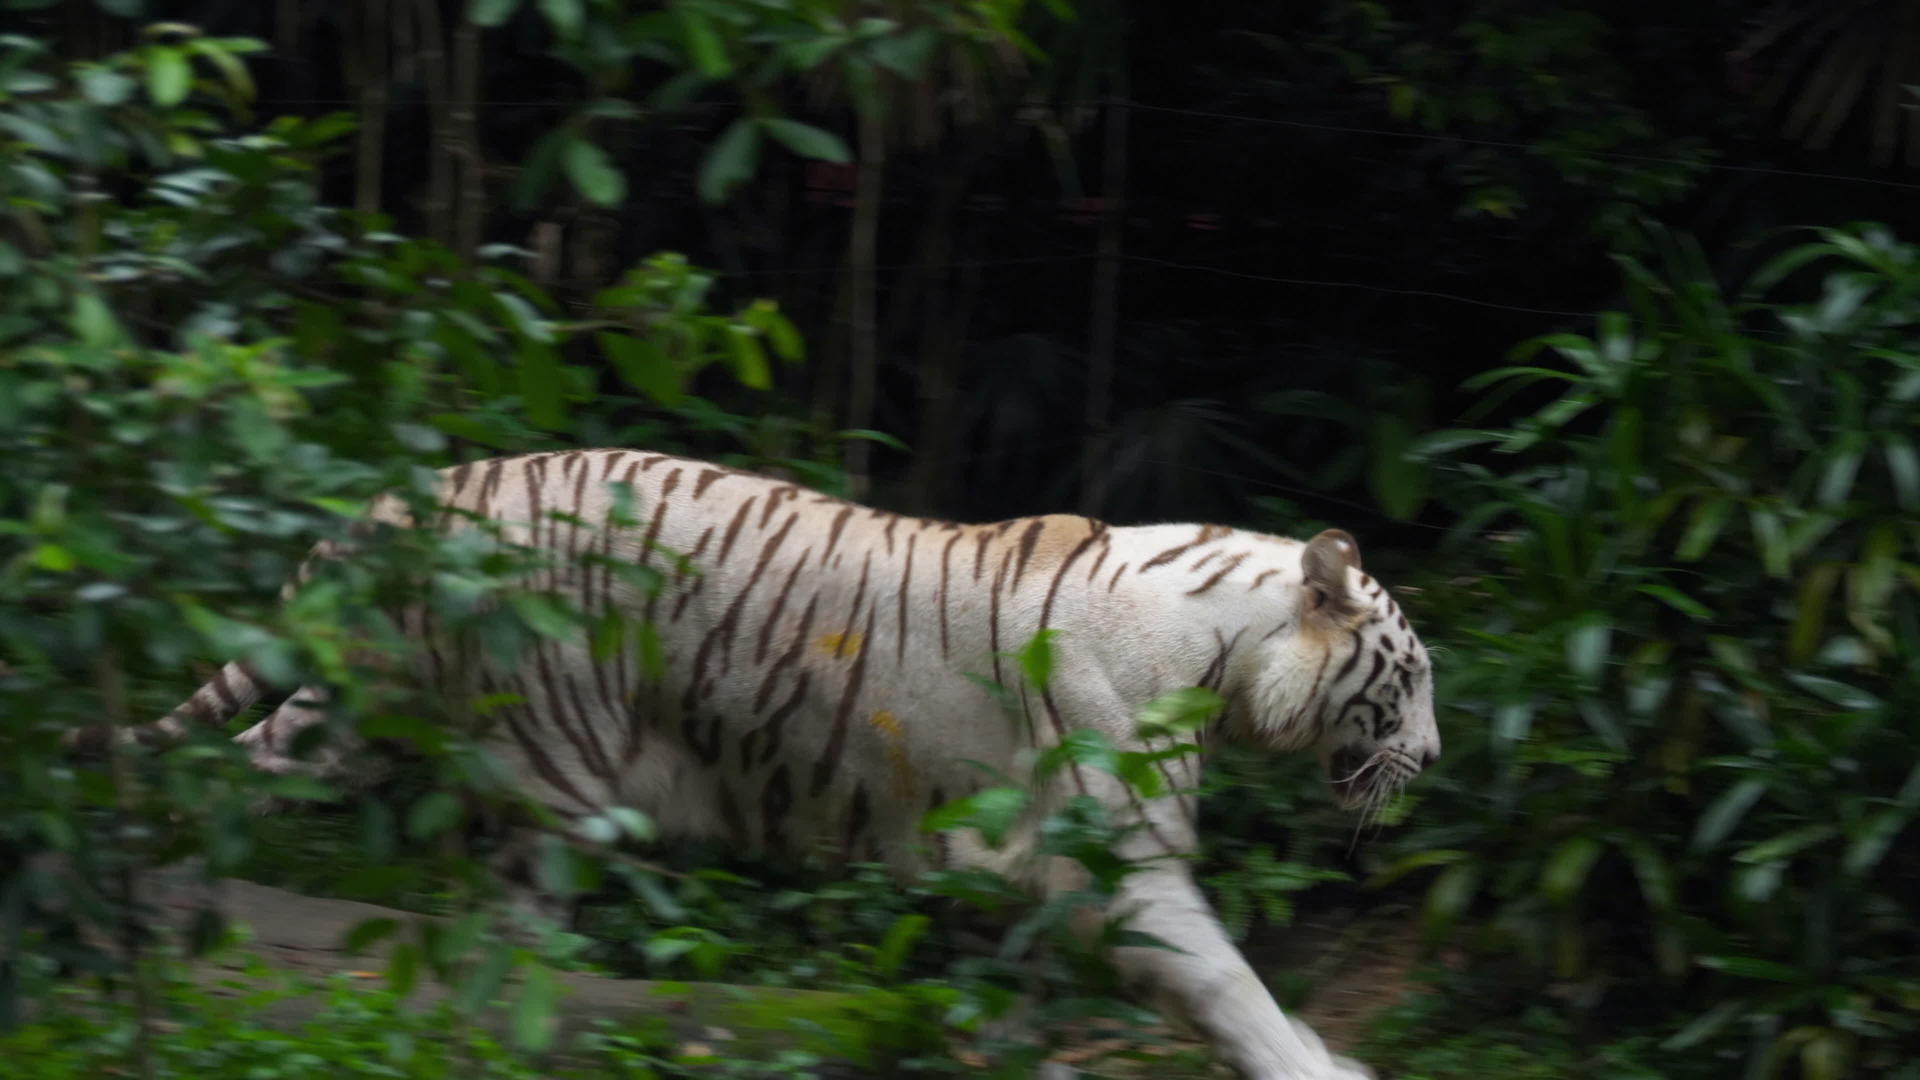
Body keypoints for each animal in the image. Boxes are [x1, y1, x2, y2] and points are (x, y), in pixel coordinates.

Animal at [123, 447, 1443, 1076]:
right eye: (1414, 676)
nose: (1431, 761)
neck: (1227, 659)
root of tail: (426, 492)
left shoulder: (1043, 867)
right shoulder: (1123, 864)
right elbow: (1225, 980)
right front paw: (1320, 1067)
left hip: (368, 706)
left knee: (246, 768)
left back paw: (161, 882)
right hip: (557, 766)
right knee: (509, 942)